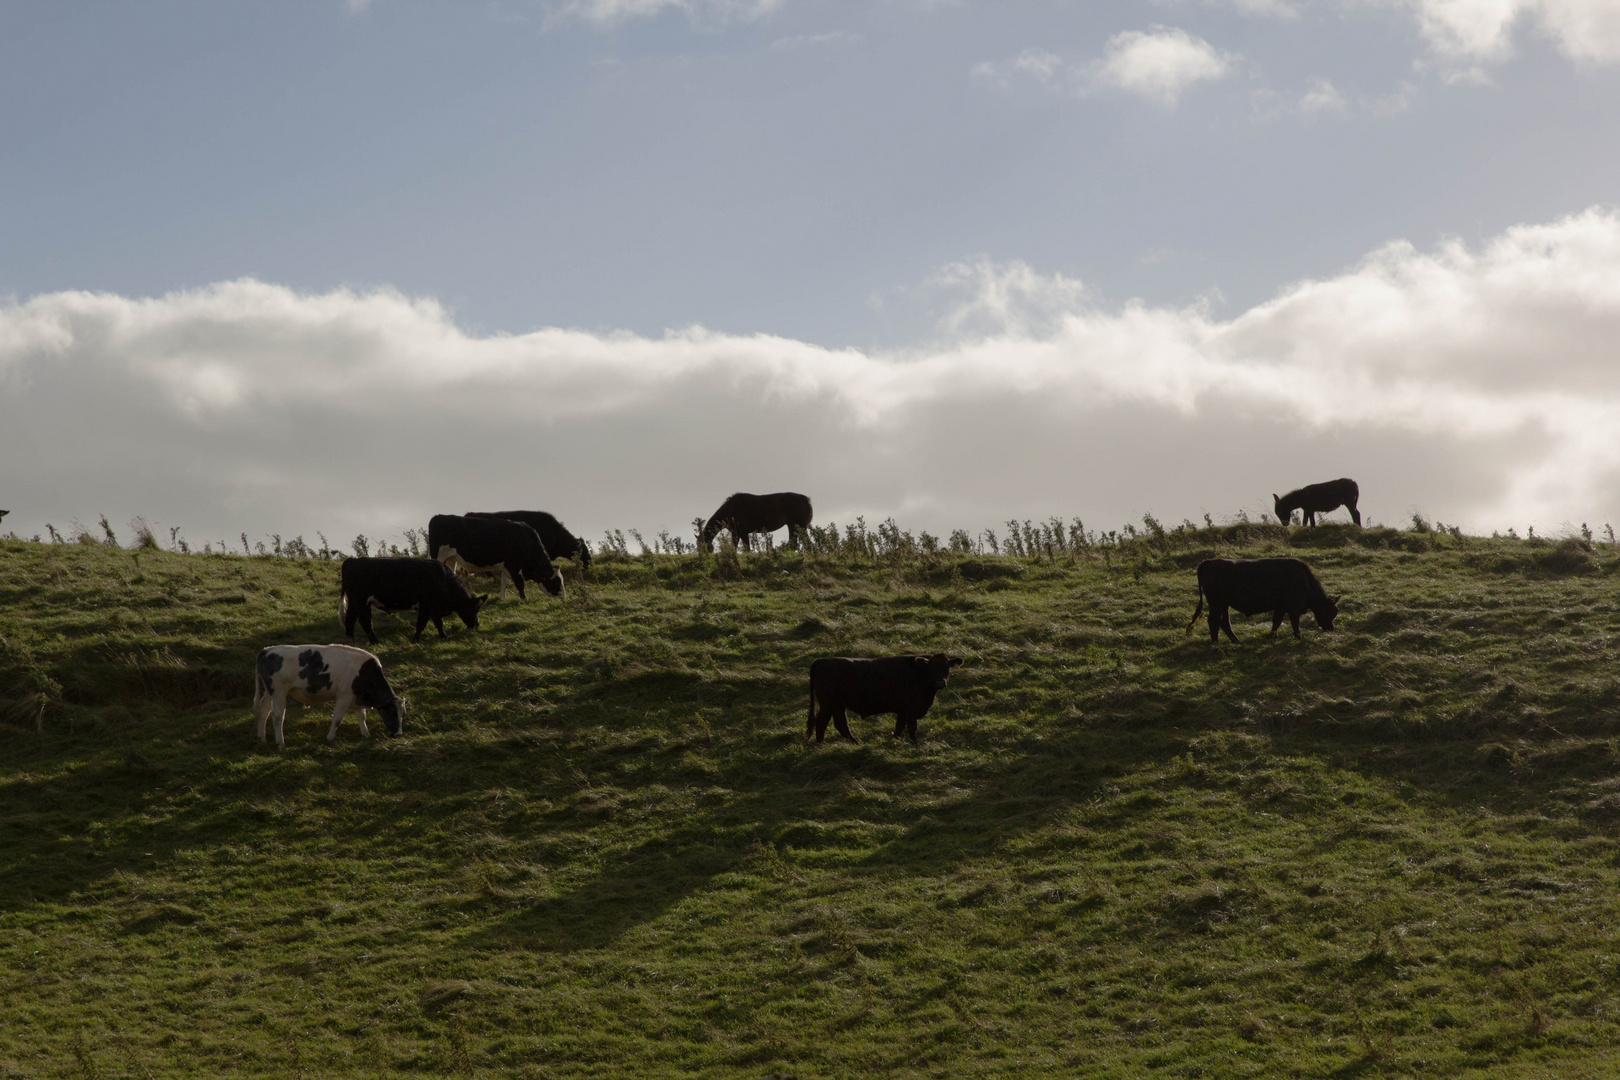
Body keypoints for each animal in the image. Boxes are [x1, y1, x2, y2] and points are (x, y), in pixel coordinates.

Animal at [252, 647, 408, 748]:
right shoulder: (344, 696)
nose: (399, 734)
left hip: (270, 692)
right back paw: (281, 743)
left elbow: (361, 716)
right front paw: (330, 737)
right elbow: (337, 718)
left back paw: (262, 738)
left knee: (263, 711)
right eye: (392, 713)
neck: (365, 672)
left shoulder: (355, 697)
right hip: (279, 692)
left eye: (403, 714)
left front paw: (365, 733)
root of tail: (268, 650)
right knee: (278, 716)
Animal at [330, 557, 476, 641]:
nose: (476, 624)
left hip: (354, 602)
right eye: (474, 609)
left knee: (350, 619)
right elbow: (421, 623)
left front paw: (443, 636)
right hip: (361, 601)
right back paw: (374, 641)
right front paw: (415, 640)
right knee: (365, 620)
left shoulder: (433, 608)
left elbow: (438, 622)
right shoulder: (427, 605)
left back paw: (351, 641)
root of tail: (352, 560)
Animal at [427, 514, 567, 599]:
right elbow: (519, 583)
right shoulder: (513, 566)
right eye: (556, 581)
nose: (564, 597)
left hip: (451, 558)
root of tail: (438, 517)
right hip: (438, 556)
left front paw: (503, 597)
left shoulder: (506, 567)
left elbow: (505, 582)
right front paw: (524, 598)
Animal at [806, 654, 959, 748]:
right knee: (822, 724)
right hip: (828, 704)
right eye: (932, 668)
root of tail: (822, 660)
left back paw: (855, 742)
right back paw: (821, 745)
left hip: (837, 705)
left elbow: (899, 726)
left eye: (947, 668)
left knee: (840, 724)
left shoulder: (903, 711)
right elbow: (912, 727)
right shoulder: (910, 709)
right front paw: (915, 744)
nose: (941, 682)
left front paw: (895, 740)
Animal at [1179, 557, 1341, 641]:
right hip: (1216, 603)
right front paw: (1298, 637)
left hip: (1224, 604)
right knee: (1213, 621)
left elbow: (1276, 621)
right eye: (1330, 612)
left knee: (1224, 622)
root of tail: (1208, 562)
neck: (1305, 580)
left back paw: (1237, 642)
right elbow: (1294, 623)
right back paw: (1215, 643)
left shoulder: (1280, 607)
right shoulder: (1292, 607)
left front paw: (1272, 636)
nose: (1331, 629)